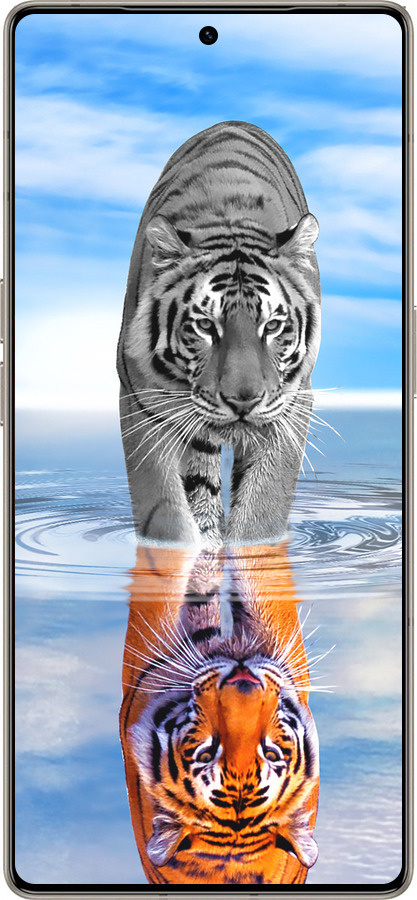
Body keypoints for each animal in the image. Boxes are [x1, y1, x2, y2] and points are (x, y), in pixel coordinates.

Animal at [117, 120, 321, 548]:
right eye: (205, 326)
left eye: (272, 326)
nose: (243, 400)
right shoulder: (141, 401)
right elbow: (164, 511)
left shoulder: (292, 404)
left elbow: (262, 509)